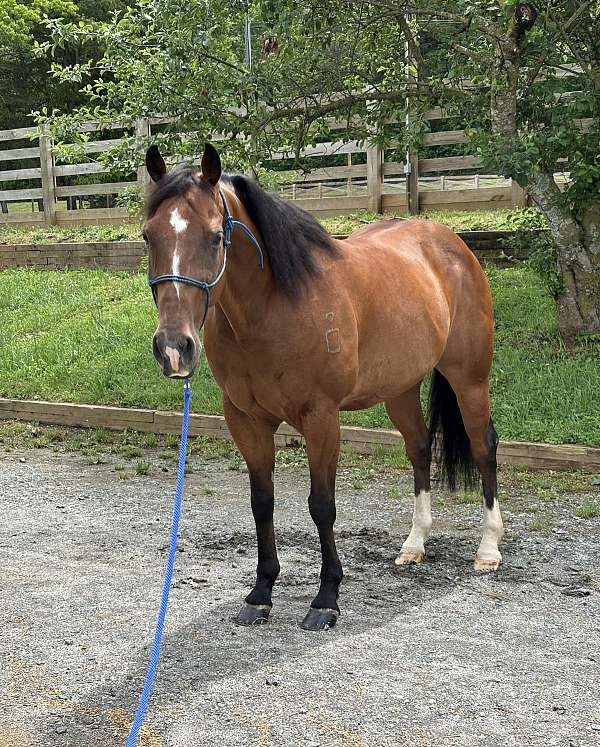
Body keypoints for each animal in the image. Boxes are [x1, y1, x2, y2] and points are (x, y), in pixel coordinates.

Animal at [142, 142, 504, 631]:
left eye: (216, 236)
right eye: (148, 236)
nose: (174, 347)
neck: (274, 307)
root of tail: (449, 243)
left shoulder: (321, 418)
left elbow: (322, 505)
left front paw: (326, 598)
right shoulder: (246, 420)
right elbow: (262, 502)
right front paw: (261, 592)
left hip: (470, 378)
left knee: (484, 447)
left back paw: (489, 548)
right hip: (400, 388)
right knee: (420, 448)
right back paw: (414, 544)